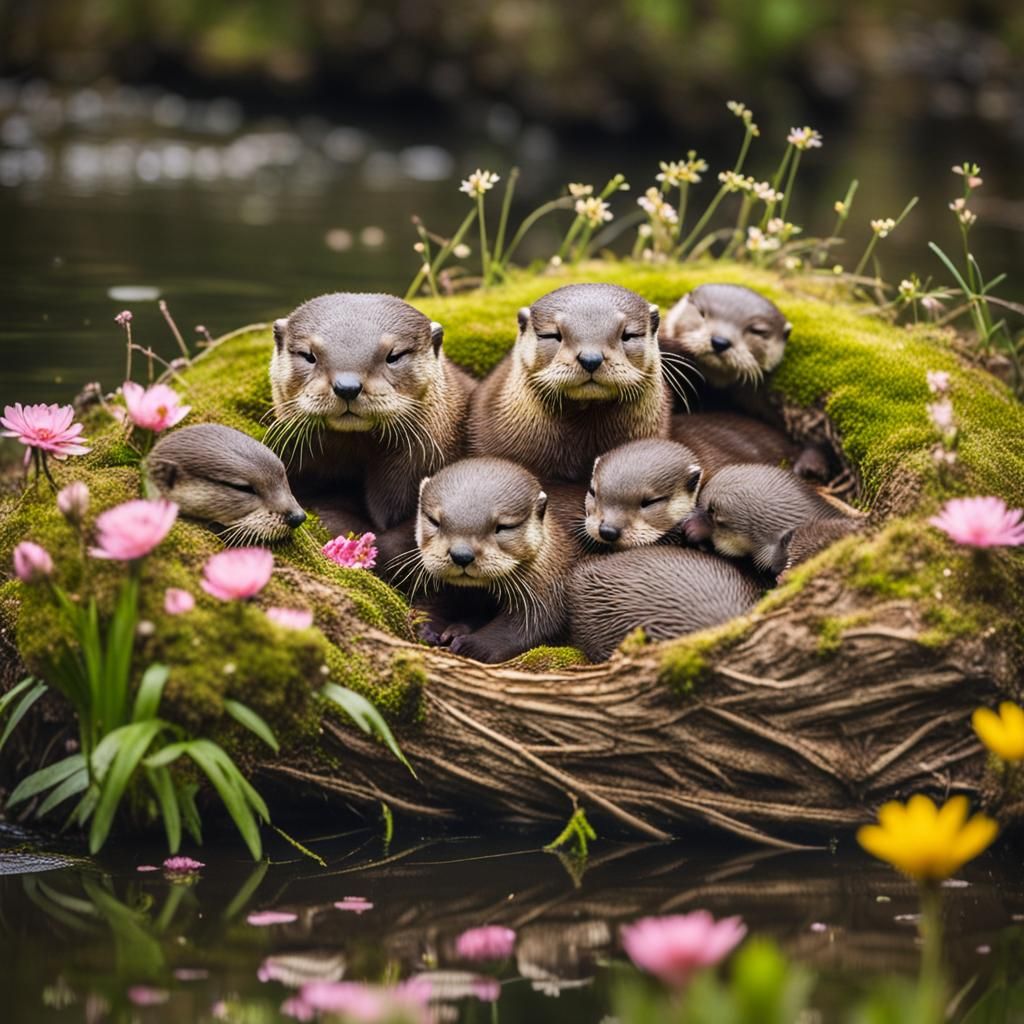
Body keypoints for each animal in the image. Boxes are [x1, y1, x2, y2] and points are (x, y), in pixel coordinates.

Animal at [408, 457, 582, 663]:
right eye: (434, 521)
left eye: (503, 527)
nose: (461, 554)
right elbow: (429, 603)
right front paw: (427, 628)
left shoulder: (549, 593)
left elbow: (525, 629)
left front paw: (470, 646)